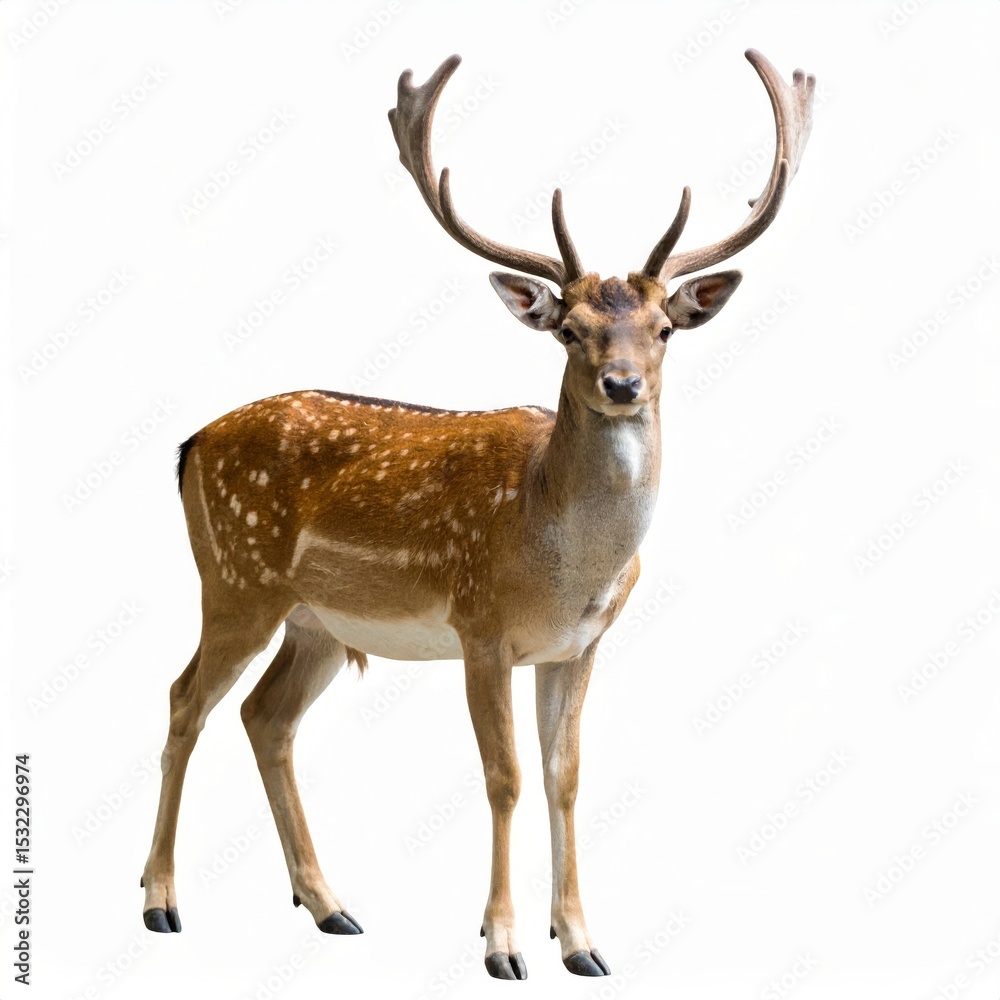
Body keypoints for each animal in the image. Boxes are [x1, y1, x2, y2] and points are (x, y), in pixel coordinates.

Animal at [139, 50, 814, 980]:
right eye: (568, 330)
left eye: (664, 329)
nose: (622, 386)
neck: (565, 559)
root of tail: (191, 443)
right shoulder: (481, 625)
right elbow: (504, 778)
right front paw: (501, 946)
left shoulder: (578, 645)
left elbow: (565, 776)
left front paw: (583, 944)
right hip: (236, 579)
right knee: (183, 700)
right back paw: (161, 901)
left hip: (315, 621)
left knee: (264, 717)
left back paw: (329, 905)